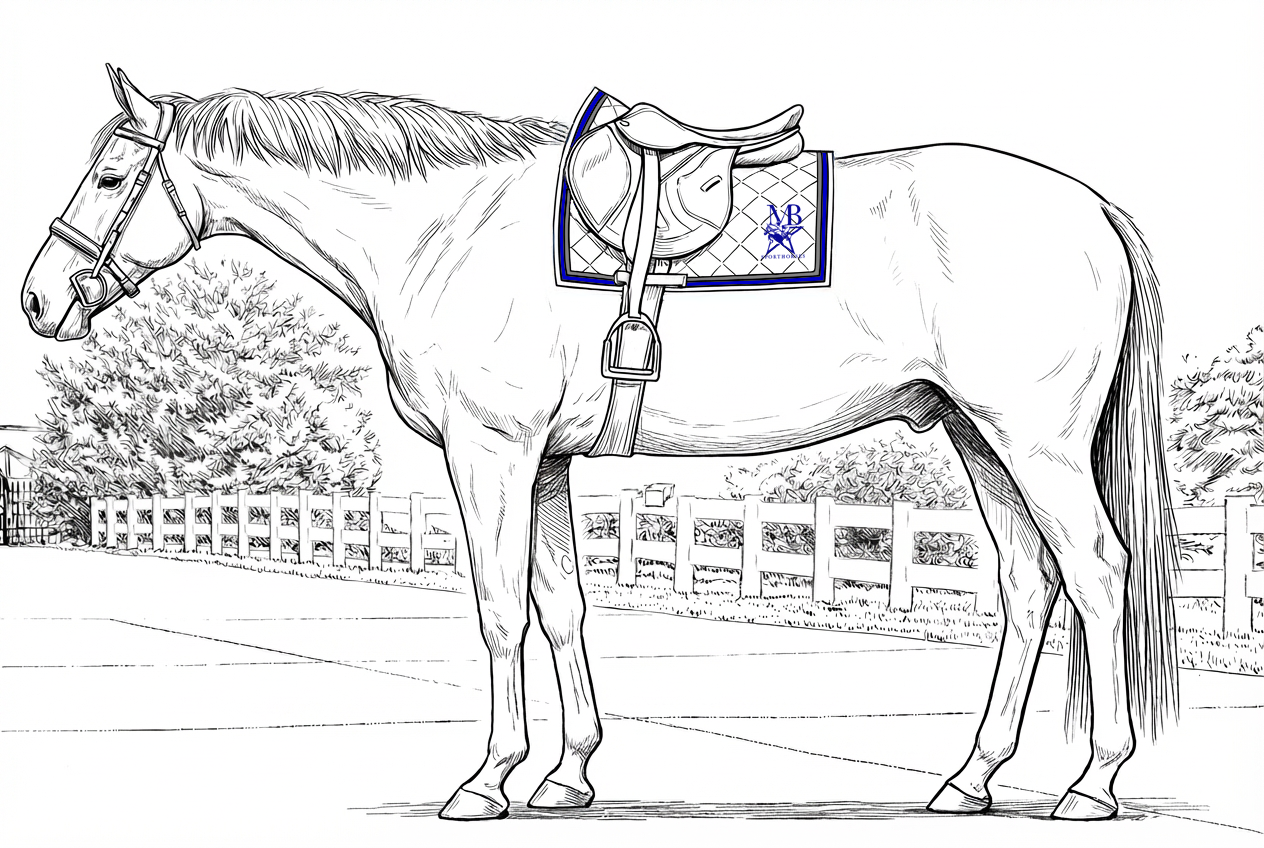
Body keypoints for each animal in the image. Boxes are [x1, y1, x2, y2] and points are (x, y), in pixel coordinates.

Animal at [20, 66, 1179, 822]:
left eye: (114, 175)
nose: (37, 299)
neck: (446, 231)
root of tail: (1092, 209)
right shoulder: (544, 463)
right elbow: (560, 605)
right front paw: (566, 774)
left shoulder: (491, 452)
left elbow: (497, 611)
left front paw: (485, 781)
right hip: (978, 438)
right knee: (1029, 585)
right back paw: (967, 780)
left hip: (1034, 441)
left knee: (1097, 571)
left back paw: (1090, 785)